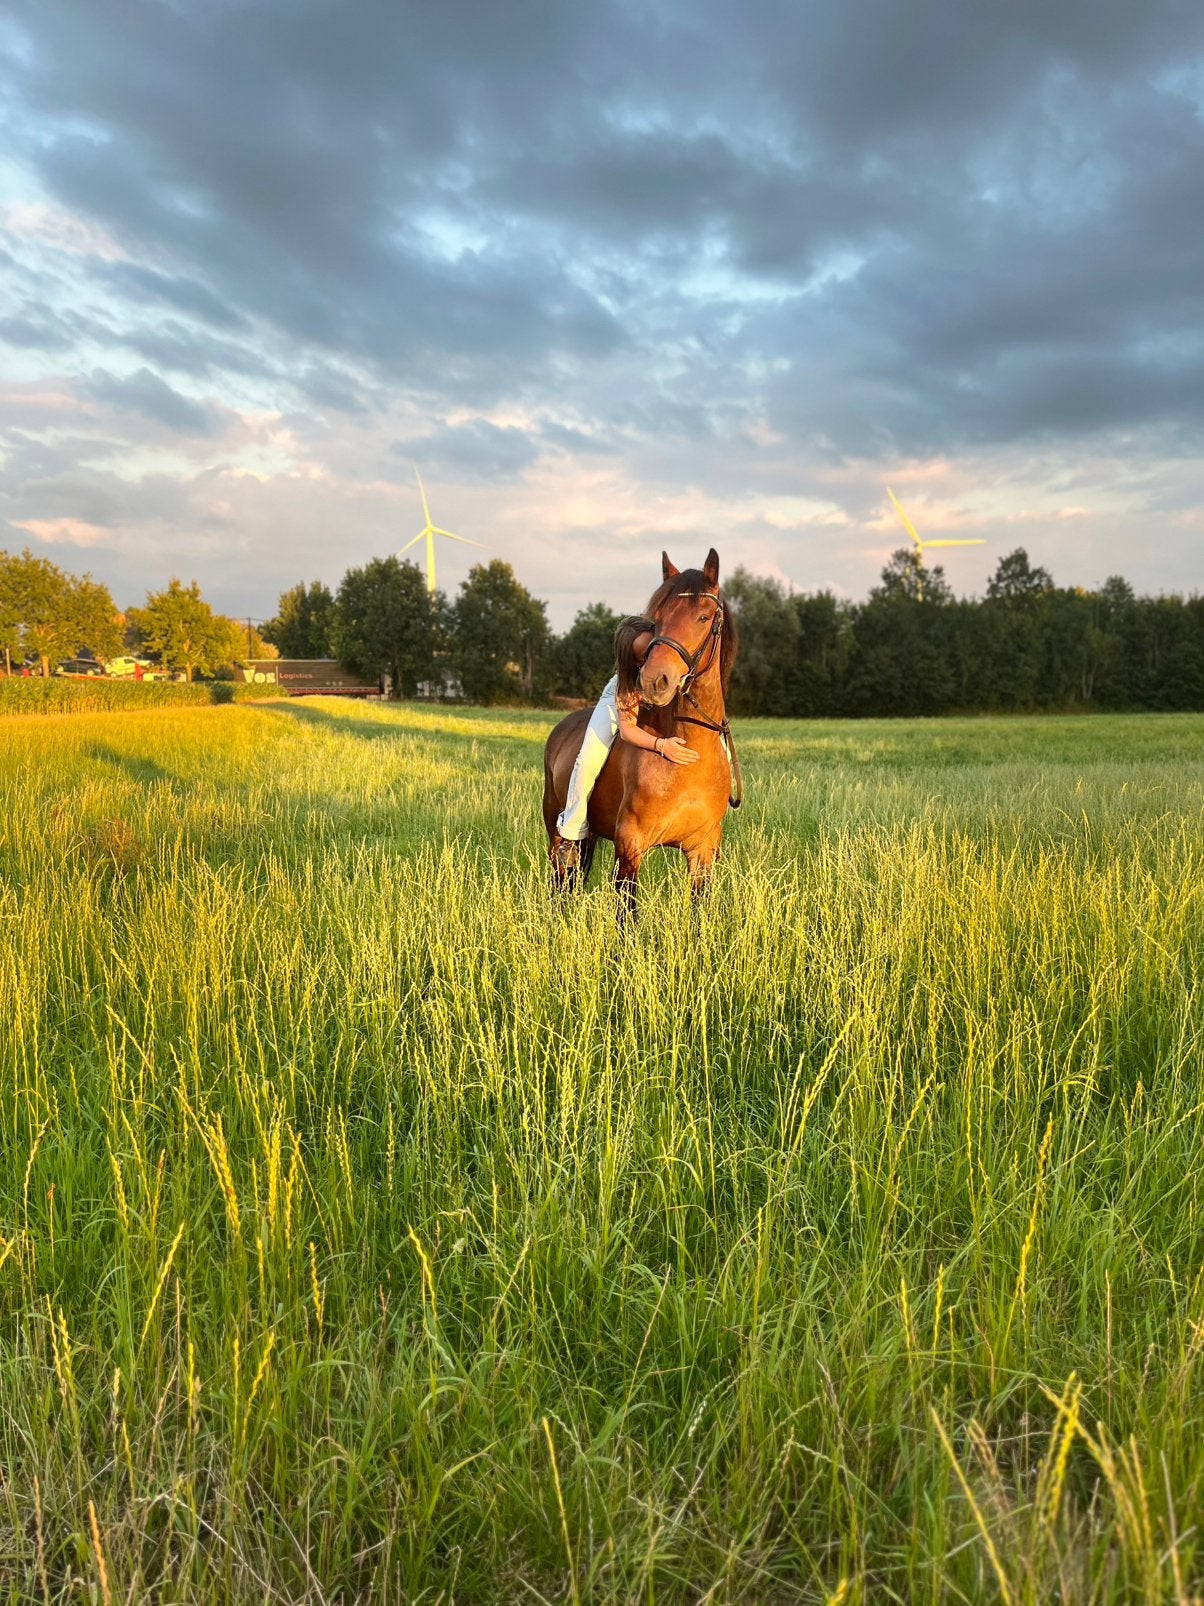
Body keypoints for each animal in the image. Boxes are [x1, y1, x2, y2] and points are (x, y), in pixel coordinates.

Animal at [542, 548, 740, 918]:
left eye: (704, 617)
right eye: (657, 620)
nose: (655, 681)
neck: (690, 760)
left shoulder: (702, 851)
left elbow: (699, 916)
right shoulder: (630, 847)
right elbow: (627, 918)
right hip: (555, 829)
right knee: (559, 880)